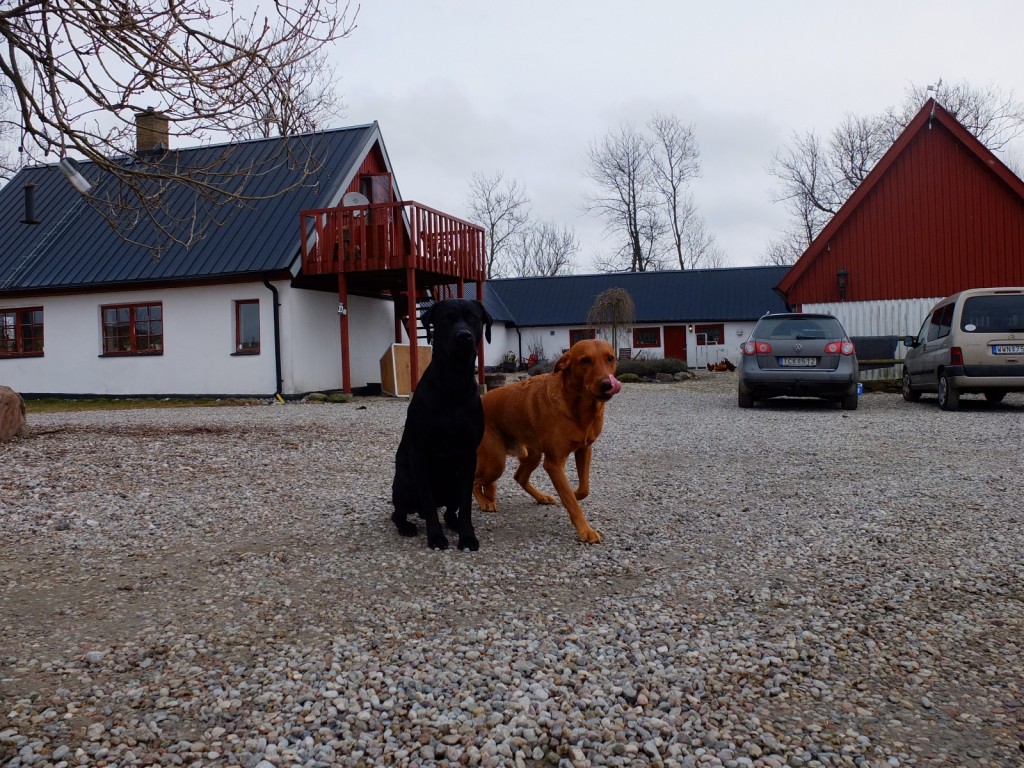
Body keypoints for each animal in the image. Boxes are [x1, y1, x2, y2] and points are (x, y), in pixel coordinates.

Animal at [391, 296, 491, 548]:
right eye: (446, 319)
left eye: (473, 317)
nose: (464, 336)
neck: (453, 382)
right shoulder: (419, 452)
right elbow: (427, 499)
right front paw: (435, 536)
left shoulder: (469, 454)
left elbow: (466, 505)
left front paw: (467, 536)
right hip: (404, 483)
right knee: (400, 512)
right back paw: (407, 526)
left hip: (455, 485)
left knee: (449, 510)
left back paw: (455, 524)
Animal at [473, 339, 622, 544]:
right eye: (585, 360)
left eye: (610, 358)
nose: (607, 384)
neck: (579, 410)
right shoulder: (554, 463)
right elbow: (570, 501)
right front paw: (585, 530)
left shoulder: (584, 449)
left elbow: (583, 489)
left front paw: (576, 494)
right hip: (495, 461)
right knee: (475, 480)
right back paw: (484, 502)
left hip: (531, 455)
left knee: (517, 477)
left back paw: (538, 497)